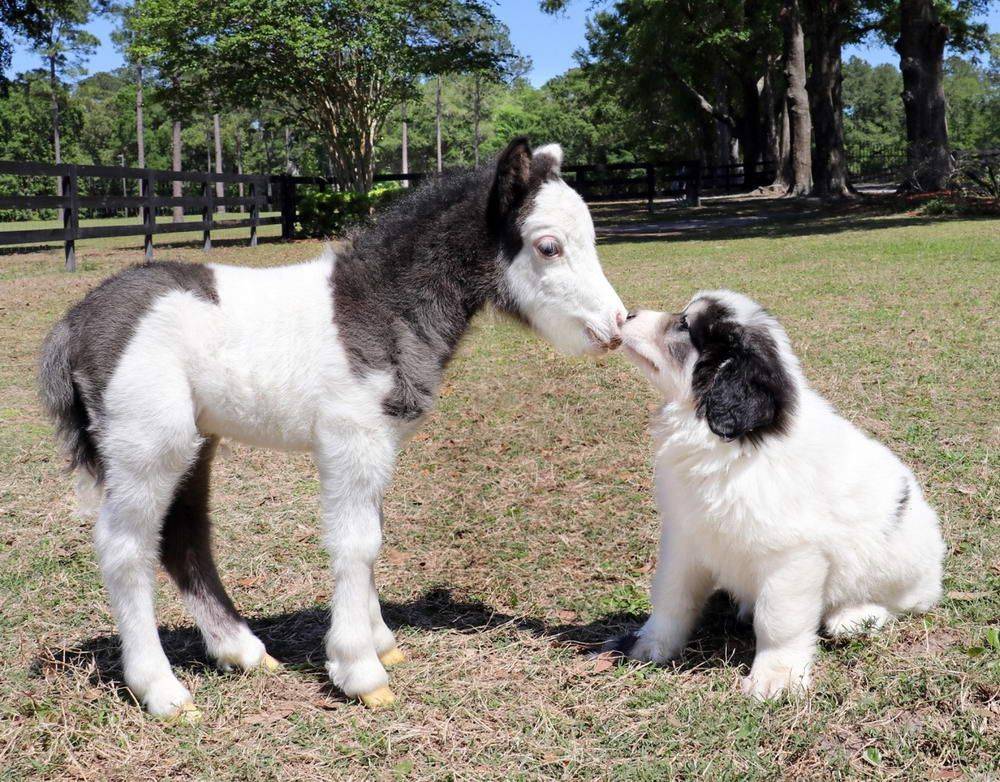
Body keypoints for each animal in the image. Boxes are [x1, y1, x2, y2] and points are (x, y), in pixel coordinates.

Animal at [39, 139, 624, 716]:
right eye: (548, 247)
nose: (616, 326)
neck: (382, 305)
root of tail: (73, 323)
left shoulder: (378, 445)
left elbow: (373, 537)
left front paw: (382, 644)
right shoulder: (351, 440)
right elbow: (355, 543)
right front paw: (361, 671)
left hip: (195, 439)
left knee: (184, 533)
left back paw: (243, 652)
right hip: (146, 444)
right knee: (125, 547)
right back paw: (161, 690)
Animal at [616, 290, 944, 700]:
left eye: (684, 325)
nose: (627, 314)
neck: (734, 445)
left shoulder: (791, 557)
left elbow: (778, 620)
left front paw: (777, 676)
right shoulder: (685, 536)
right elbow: (672, 595)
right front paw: (653, 644)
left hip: (899, 565)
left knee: (906, 601)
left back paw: (854, 616)